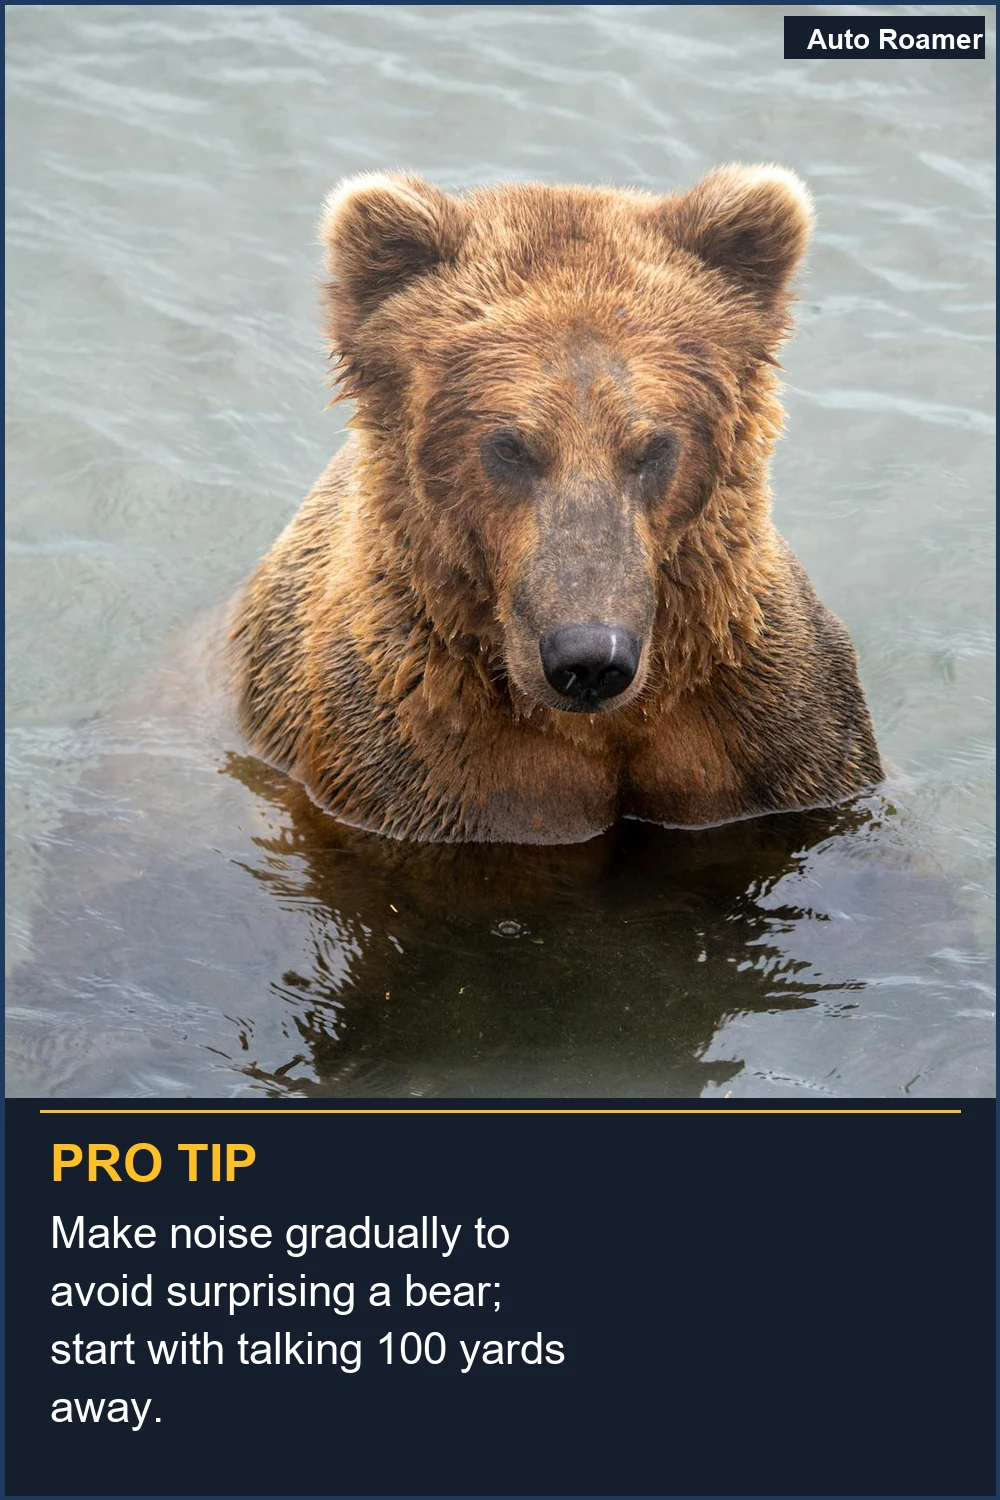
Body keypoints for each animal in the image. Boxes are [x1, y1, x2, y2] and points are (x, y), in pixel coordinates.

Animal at [227, 164, 882, 845]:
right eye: (510, 446)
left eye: (654, 446)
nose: (590, 659)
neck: (611, 725)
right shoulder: (421, 762)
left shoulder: (768, 731)